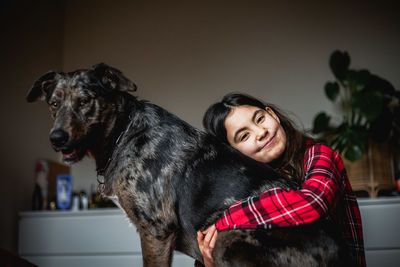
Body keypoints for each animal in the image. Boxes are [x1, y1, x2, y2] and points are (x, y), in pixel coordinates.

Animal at [26, 63, 348, 266]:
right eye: (54, 104)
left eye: (85, 101)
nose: (57, 139)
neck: (123, 132)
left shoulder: (156, 229)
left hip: (227, 237)